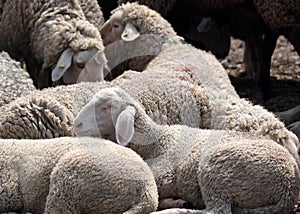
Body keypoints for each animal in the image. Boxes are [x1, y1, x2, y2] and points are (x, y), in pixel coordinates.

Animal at [72, 86, 300, 212]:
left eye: (107, 107)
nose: (76, 124)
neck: (157, 141)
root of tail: (289, 186)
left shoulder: (160, 176)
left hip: (217, 169)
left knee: (217, 210)